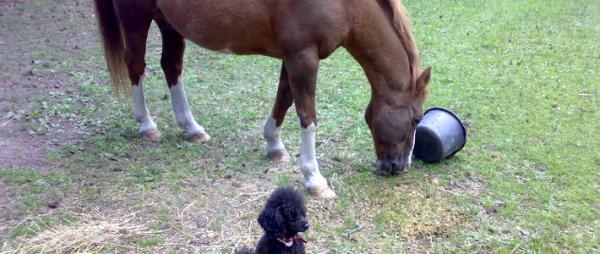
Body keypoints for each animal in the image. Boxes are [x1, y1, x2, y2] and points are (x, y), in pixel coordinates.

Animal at [92, 0, 432, 198]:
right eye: (416, 118)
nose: (400, 166)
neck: (345, 5)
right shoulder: (303, 57)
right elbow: (307, 116)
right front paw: (314, 178)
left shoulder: (293, 56)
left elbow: (284, 99)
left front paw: (274, 145)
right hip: (136, 16)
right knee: (136, 66)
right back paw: (147, 125)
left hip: (169, 21)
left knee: (171, 67)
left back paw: (191, 128)